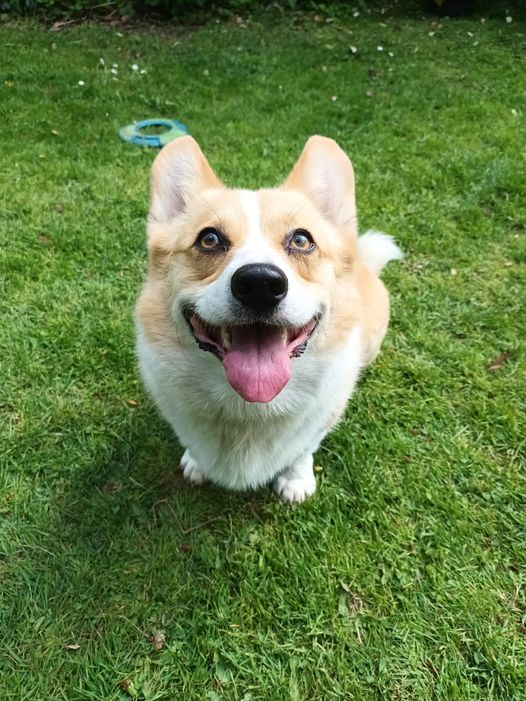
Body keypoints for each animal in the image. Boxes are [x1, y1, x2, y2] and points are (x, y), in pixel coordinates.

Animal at [134, 134, 402, 500]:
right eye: (209, 238)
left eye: (302, 239)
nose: (260, 284)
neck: (248, 406)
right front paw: (195, 463)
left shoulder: (323, 418)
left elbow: (303, 450)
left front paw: (296, 481)